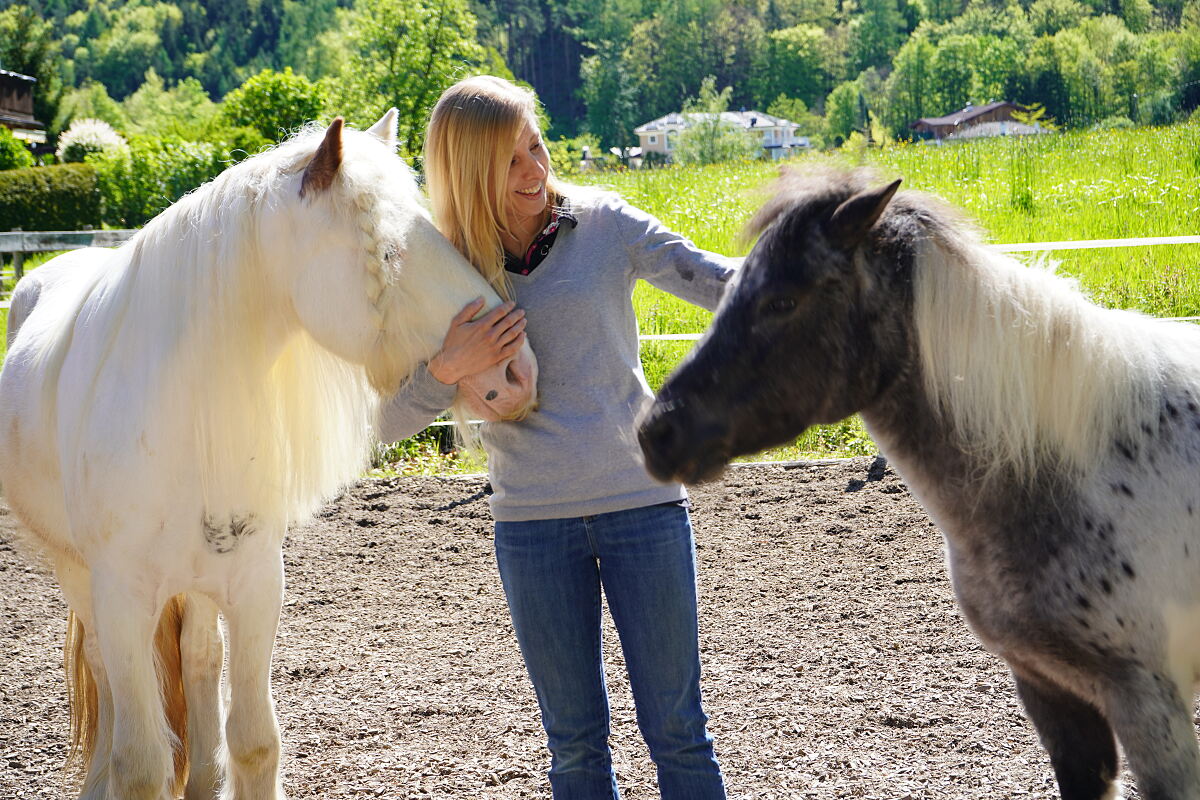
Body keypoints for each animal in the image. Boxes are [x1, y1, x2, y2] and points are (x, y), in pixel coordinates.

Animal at [0, 109, 537, 796]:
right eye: (388, 252)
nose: (520, 369)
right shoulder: (122, 600)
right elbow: (142, 764)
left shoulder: (255, 587)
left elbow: (254, 740)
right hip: (79, 575)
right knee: (104, 676)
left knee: (200, 662)